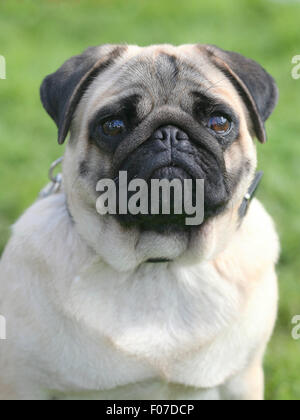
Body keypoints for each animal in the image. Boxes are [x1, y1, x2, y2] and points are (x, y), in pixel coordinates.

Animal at [1, 43, 280, 400]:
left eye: (219, 122)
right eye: (113, 125)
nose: (170, 133)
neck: (158, 261)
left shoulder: (241, 381)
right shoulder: (24, 383)